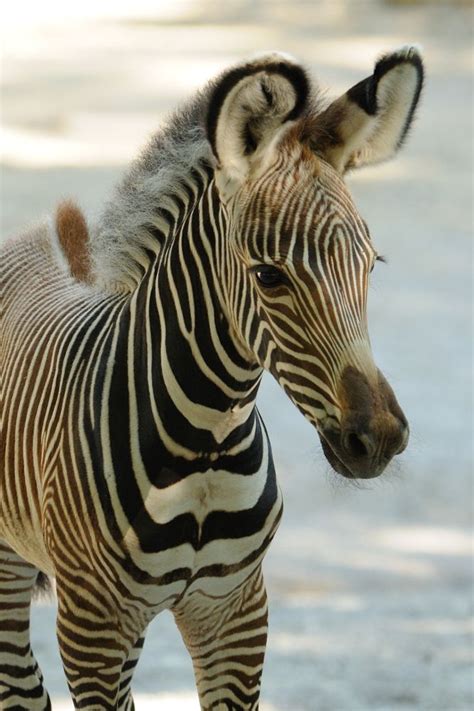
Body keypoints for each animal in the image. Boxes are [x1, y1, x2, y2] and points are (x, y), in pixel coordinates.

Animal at [0, 47, 422, 708]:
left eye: (371, 265)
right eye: (269, 276)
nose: (377, 438)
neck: (204, 445)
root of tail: (38, 235)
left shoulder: (234, 611)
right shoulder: (93, 627)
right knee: (19, 685)